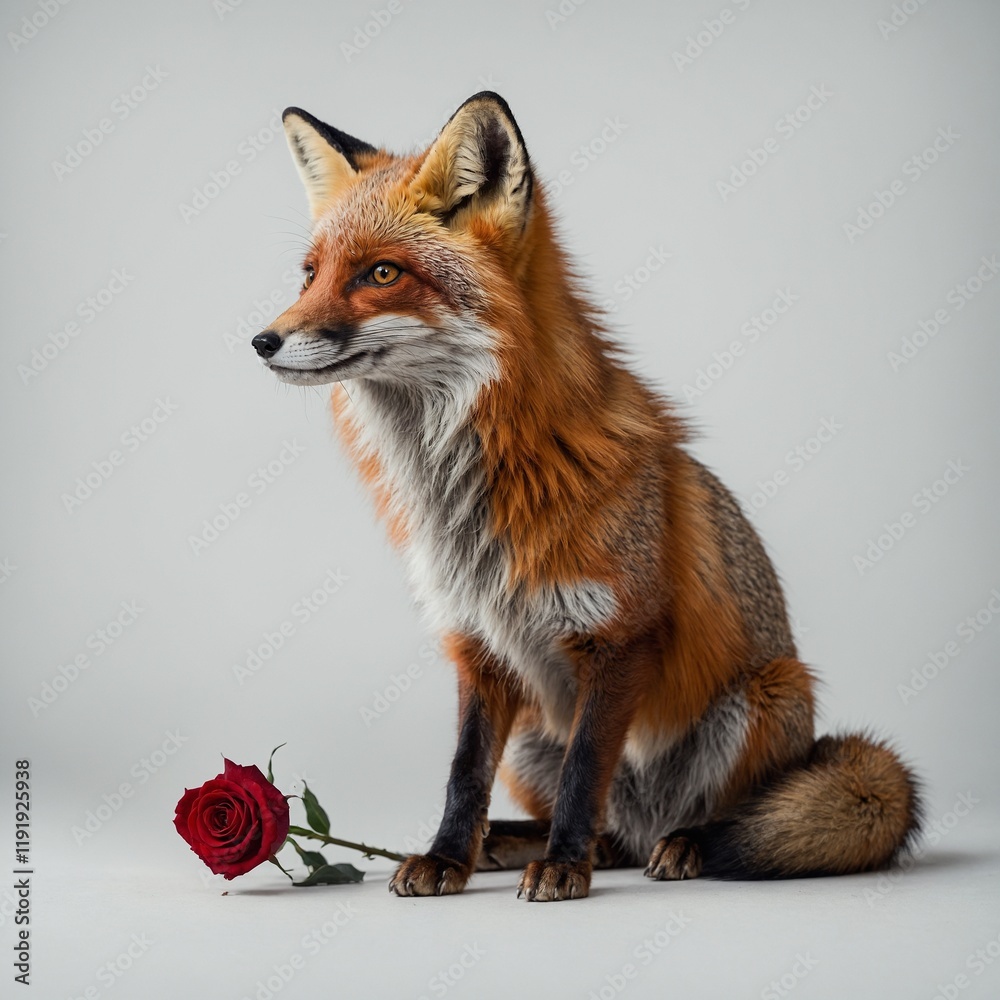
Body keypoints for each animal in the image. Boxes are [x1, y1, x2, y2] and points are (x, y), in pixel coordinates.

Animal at [251, 92, 921, 901]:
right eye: (309, 274)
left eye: (381, 272)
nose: (262, 341)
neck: (471, 494)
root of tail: (645, 818)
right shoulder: (479, 645)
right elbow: (463, 774)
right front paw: (448, 857)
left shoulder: (619, 638)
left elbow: (584, 769)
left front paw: (563, 866)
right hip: (533, 739)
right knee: (611, 832)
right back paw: (525, 844)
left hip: (762, 700)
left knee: (720, 817)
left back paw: (676, 845)